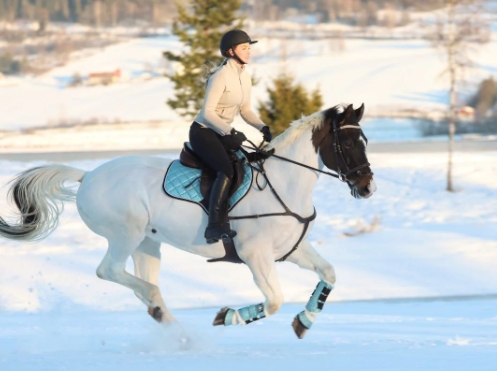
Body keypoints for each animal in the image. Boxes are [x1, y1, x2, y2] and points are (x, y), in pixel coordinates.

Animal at [0, 104, 376, 340]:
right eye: (346, 143)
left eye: (365, 140)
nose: (367, 187)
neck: (282, 183)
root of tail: (88, 174)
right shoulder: (256, 256)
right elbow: (273, 302)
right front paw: (228, 316)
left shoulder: (291, 250)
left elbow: (328, 274)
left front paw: (305, 320)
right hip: (125, 233)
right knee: (109, 271)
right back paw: (162, 307)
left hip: (147, 243)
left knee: (140, 285)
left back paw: (174, 328)